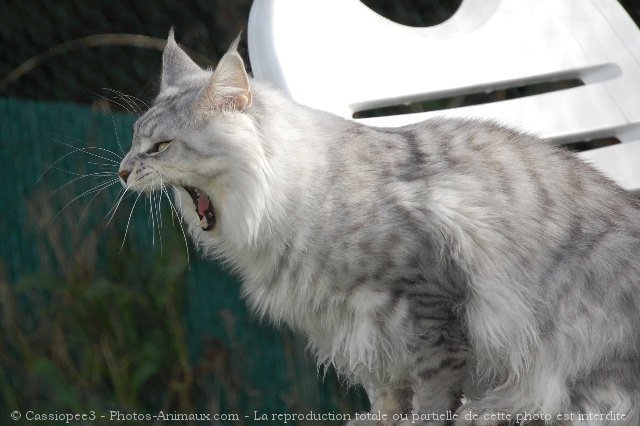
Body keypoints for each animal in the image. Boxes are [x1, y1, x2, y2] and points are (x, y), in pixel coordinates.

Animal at [117, 30, 640, 426]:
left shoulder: (426, 301)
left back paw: (493, 410)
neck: (294, 195)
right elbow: (384, 387)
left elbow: (433, 391)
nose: (121, 172)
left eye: (160, 147)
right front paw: (381, 419)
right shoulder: (352, 321)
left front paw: (427, 422)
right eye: (134, 142)